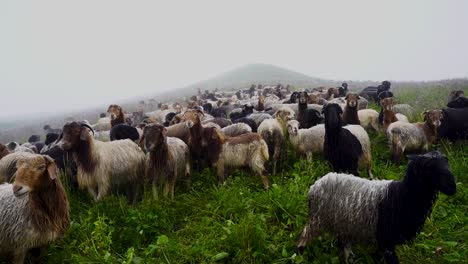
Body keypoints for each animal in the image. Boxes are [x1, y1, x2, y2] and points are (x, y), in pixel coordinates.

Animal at [298, 151, 456, 264]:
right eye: (429, 169)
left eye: (447, 163)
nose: (452, 188)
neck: (401, 196)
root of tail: (315, 185)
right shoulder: (387, 239)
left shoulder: (383, 240)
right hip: (318, 217)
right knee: (305, 235)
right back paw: (299, 252)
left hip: (343, 221)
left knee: (343, 242)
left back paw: (349, 258)